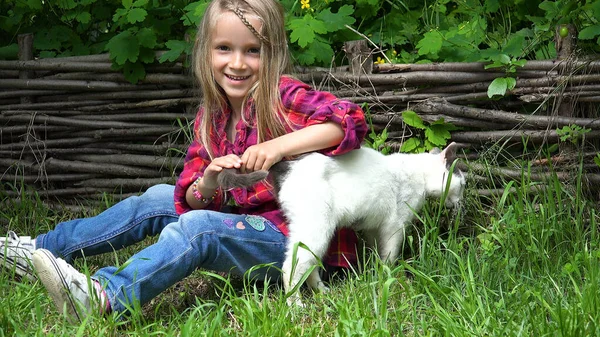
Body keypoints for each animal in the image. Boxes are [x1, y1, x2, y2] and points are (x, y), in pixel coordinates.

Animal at [218, 142, 466, 304]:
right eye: (462, 184)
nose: (460, 201)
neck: (419, 175)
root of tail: (287, 165)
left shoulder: (373, 227)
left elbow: (376, 252)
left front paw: (373, 274)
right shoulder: (395, 226)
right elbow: (390, 256)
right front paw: (389, 278)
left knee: (309, 263)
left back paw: (322, 291)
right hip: (317, 227)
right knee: (291, 266)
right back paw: (296, 305)